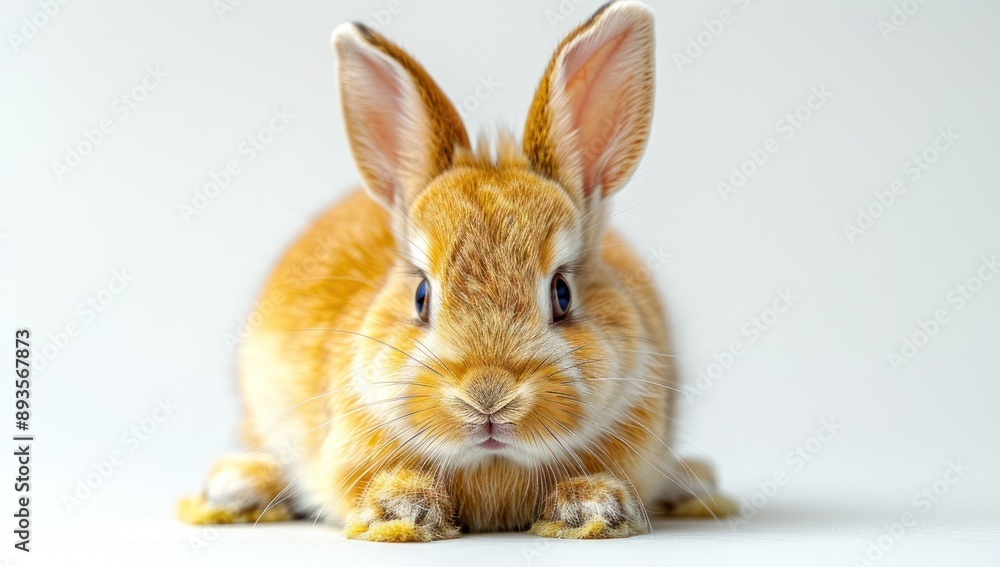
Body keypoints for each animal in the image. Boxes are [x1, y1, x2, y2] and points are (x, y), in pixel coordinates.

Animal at [178, 0, 733, 541]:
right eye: (421, 296)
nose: (488, 398)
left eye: (562, 294)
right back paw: (235, 487)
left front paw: (592, 507)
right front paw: (402, 508)